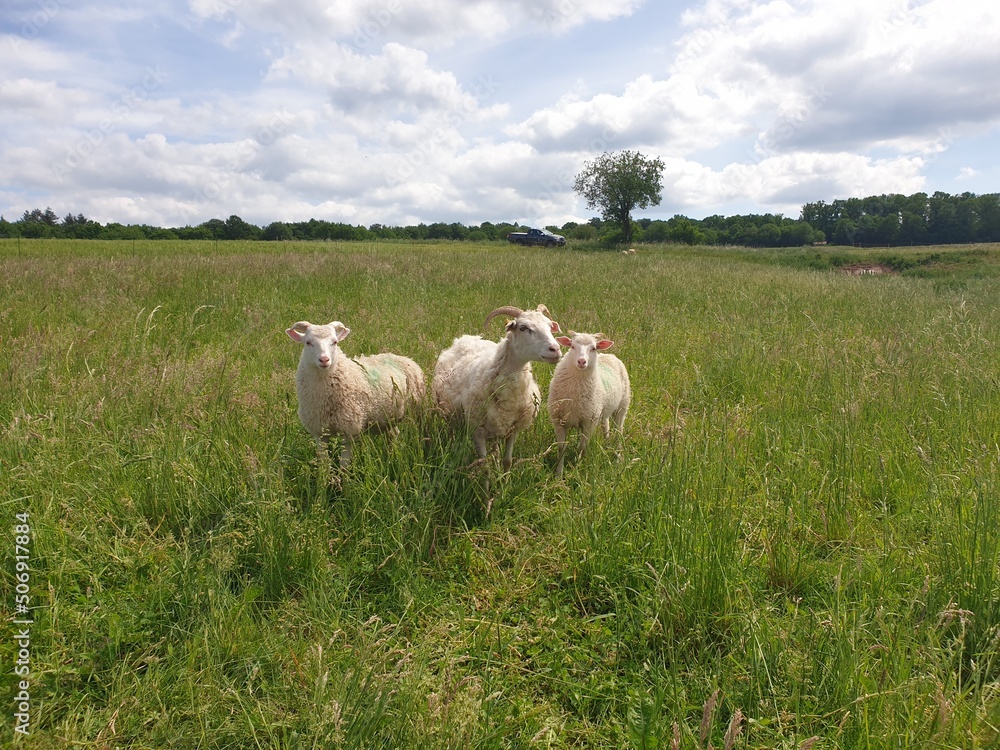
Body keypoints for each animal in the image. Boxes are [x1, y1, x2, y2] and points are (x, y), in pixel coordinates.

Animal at [286, 320, 425, 466]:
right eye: (308, 342)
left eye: (335, 342)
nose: (324, 360)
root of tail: (402, 357)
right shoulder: (319, 432)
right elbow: (324, 465)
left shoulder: (349, 430)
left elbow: (344, 466)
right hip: (388, 418)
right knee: (393, 434)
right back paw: (390, 456)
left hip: (417, 410)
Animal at [432, 304, 561, 471]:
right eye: (523, 328)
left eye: (550, 326)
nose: (555, 349)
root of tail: (465, 338)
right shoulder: (477, 430)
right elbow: (484, 465)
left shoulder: (514, 429)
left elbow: (507, 461)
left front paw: (504, 477)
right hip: (448, 412)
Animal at [547, 331, 631, 477]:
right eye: (572, 346)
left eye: (593, 348)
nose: (582, 361)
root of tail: (610, 355)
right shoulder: (559, 419)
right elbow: (561, 447)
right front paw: (558, 474)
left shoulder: (588, 421)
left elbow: (582, 447)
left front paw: (578, 469)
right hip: (602, 409)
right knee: (606, 425)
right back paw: (607, 443)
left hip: (621, 407)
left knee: (619, 431)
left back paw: (618, 458)